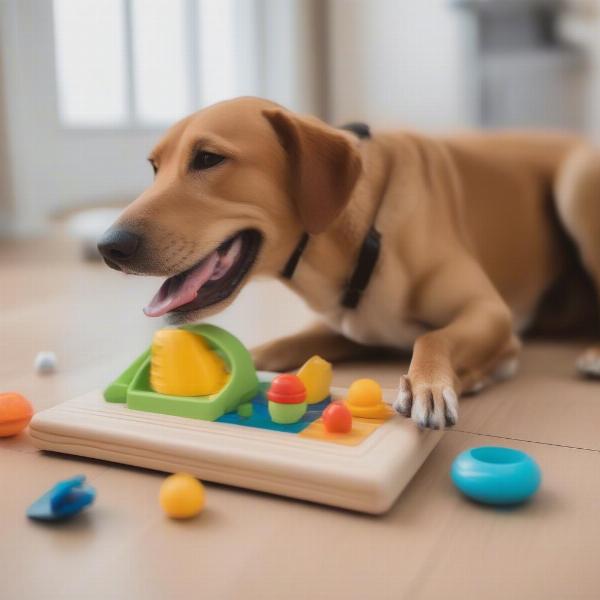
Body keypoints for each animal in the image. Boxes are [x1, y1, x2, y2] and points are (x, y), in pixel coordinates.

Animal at [96, 96, 600, 428]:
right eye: (154, 167)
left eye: (208, 158)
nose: (108, 246)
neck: (358, 241)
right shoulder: (348, 327)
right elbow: (280, 345)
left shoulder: (490, 312)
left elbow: (434, 337)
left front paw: (431, 384)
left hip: (576, 182)